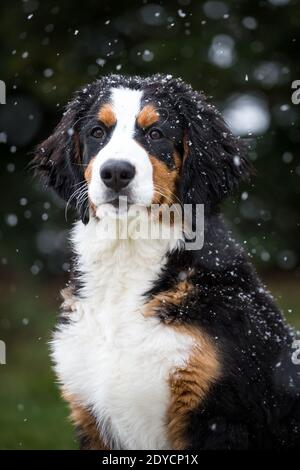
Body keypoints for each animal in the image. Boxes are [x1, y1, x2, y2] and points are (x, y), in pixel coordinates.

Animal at [32, 75, 300, 450]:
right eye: (97, 132)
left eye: (156, 133)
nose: (116, 172)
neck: (127, 257)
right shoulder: (90, 413)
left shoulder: (218, 414)